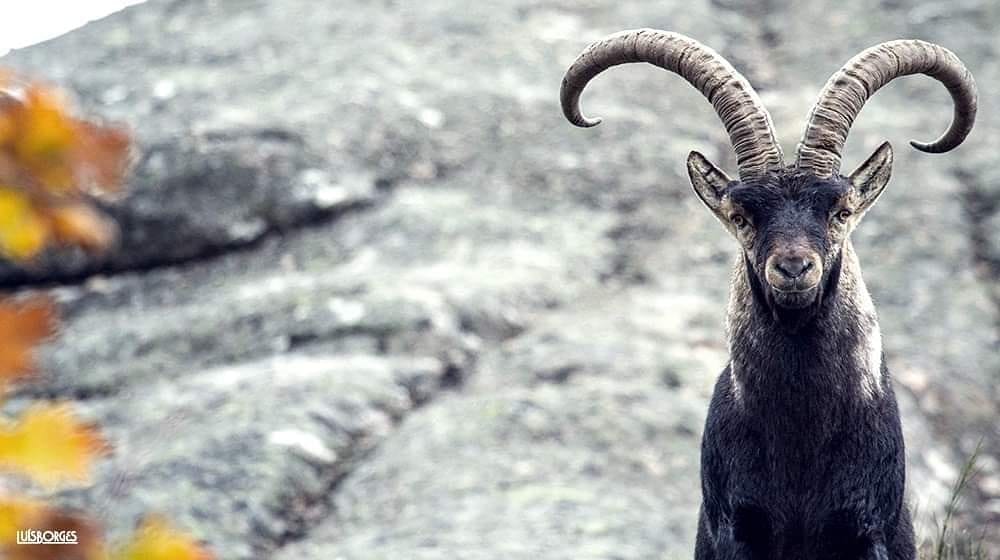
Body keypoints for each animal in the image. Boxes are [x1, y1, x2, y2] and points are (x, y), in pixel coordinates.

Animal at [560, 30, 977, 559]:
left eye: (841, 211)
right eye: (740, 216)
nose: (794, 267)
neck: (800, 431)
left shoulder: (865, 528)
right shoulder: (739, 527)